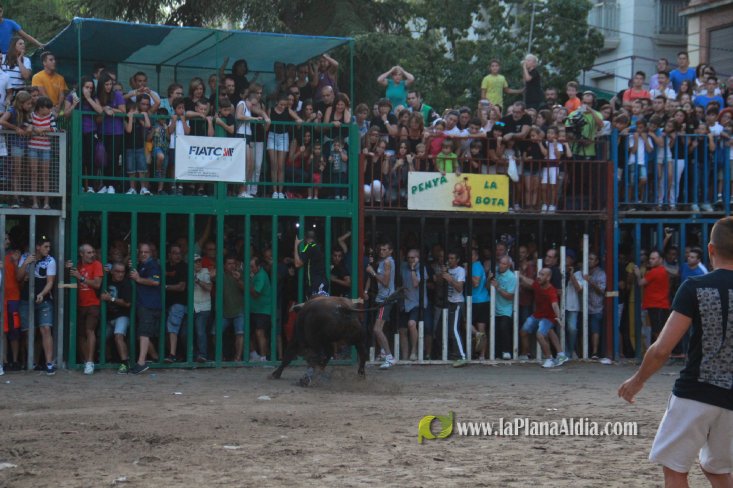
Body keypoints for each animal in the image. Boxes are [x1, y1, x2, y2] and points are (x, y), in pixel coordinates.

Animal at [270, 289, 403, 386]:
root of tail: (342, 307)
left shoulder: (298, 339)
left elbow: (288, 356)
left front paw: (275, 374)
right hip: (355, 339)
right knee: (362, 354)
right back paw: (360, 375)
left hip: (317, 341)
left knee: (320, 356)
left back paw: (306, 379)